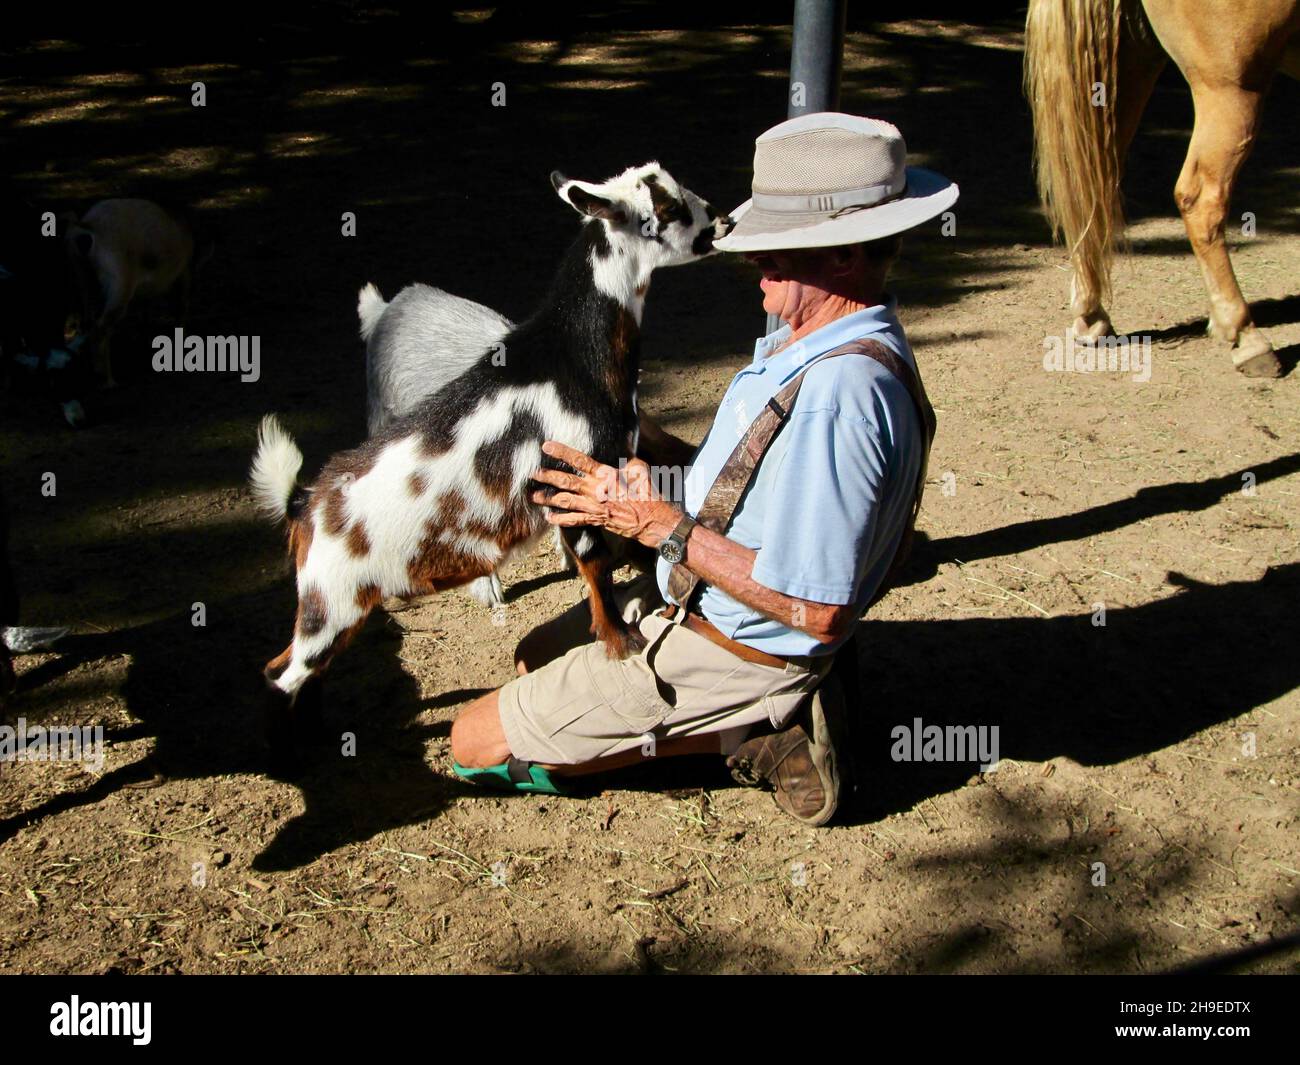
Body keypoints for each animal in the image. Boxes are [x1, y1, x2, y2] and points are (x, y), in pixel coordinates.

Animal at [248, 162, 728, 723]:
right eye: (670, 208)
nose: (720, 220)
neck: (571, 353)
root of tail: (303, 502)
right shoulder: (576, 480)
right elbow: (595, 564)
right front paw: (621, 643)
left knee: (291, 669)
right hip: (332, 602)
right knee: (282, 673)